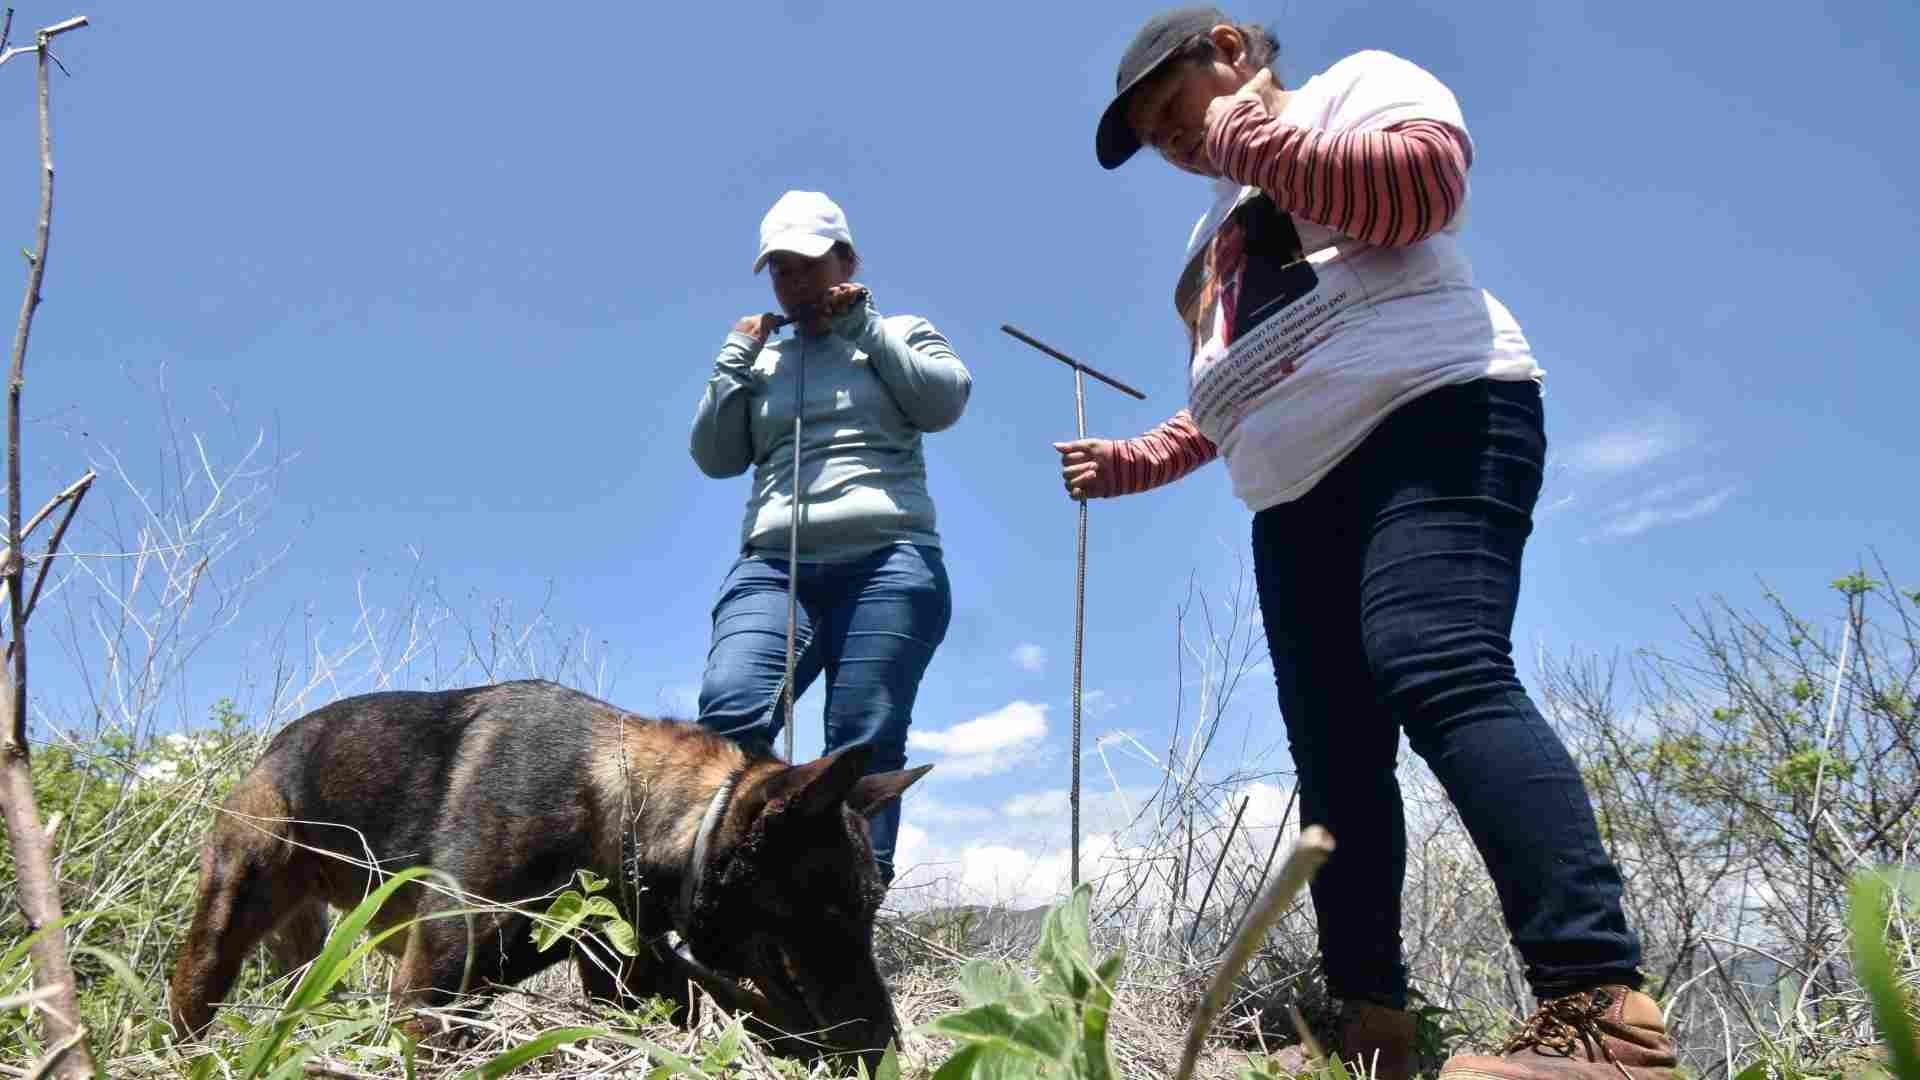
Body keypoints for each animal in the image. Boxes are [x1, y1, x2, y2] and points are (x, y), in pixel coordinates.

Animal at [168, 676, 933, 1060]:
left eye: (870, 906)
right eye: (831, 910)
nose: (883, 1043)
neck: (622, 807)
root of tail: (276, 744)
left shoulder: (632, 981)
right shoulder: (428, 993)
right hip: (228, 917)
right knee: (194, 993)